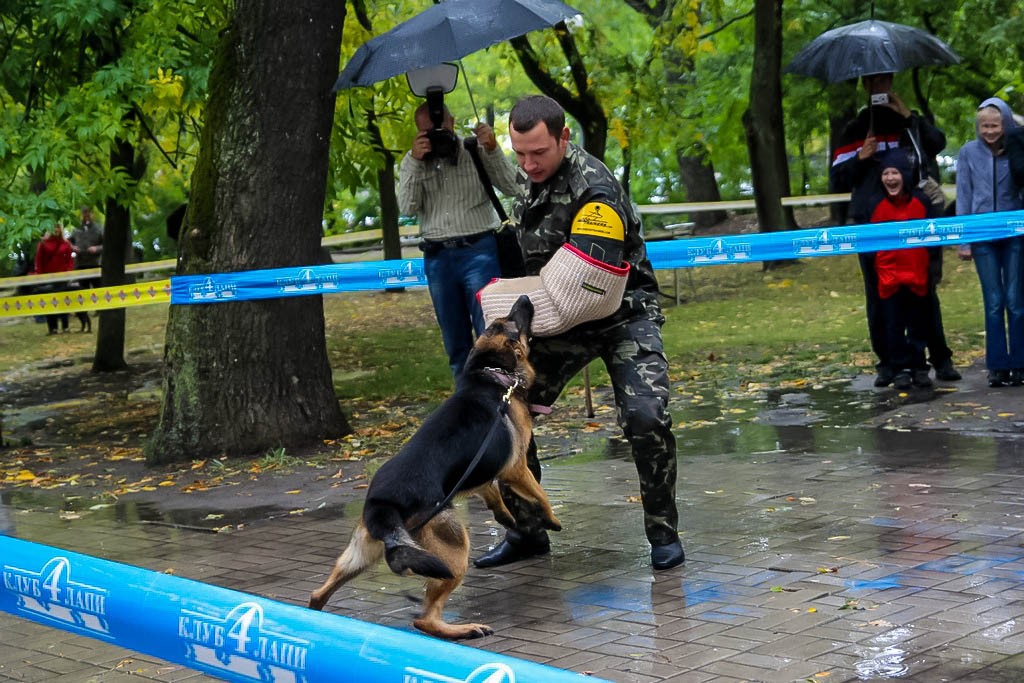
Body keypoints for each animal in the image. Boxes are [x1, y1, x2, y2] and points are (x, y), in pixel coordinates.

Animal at [307, 296, 565, 638]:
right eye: (512, 321)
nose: (524, 298)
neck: (490, 375)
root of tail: (382, 504)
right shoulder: (515, 467)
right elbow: (539, 494)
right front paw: (551, 520)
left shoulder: (482, 471)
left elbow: (491, 494)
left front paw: (506, 517)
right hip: (453, 554)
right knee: (424, 619)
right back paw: (465, 629)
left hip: (359, 557)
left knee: (317, 594)